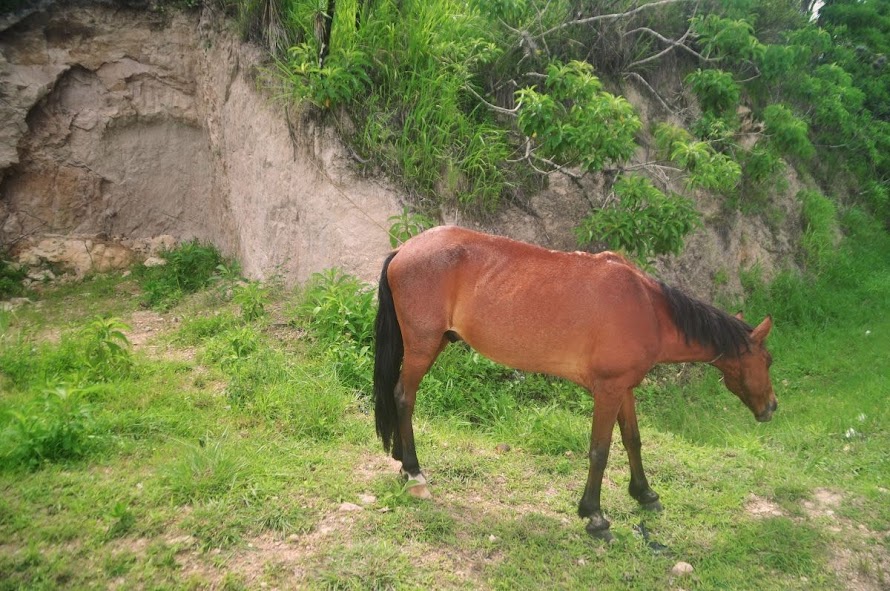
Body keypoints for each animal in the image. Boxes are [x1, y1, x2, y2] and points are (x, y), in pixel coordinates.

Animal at [368, 225, 772, 540]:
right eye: (768, 360)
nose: (771, 408)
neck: (647, 309)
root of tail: (404, 249)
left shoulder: (623, 388)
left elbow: (633, 441)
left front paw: (645, 494)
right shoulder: (607, 391)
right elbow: (600, 451)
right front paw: (594, 515)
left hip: (433, 343)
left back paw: (402, 460)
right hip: (422, 345)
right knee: (404, 396)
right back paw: (414, 471)